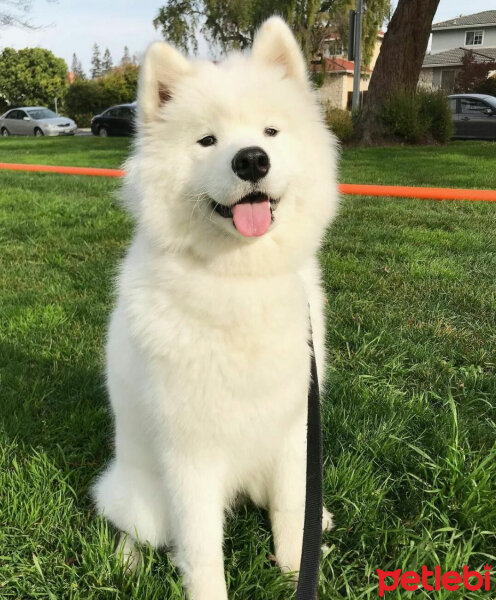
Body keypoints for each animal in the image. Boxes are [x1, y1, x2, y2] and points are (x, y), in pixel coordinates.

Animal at [92, 15, 340, 600]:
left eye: (270, 132)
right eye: (206, 140)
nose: (251, 159)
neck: (239, 278)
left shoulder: (294, 429)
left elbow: (290, 511)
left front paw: (295, 568)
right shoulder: (191, 454)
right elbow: (203, 548)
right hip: (143, 497)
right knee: (132, 526)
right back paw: (126, 564)